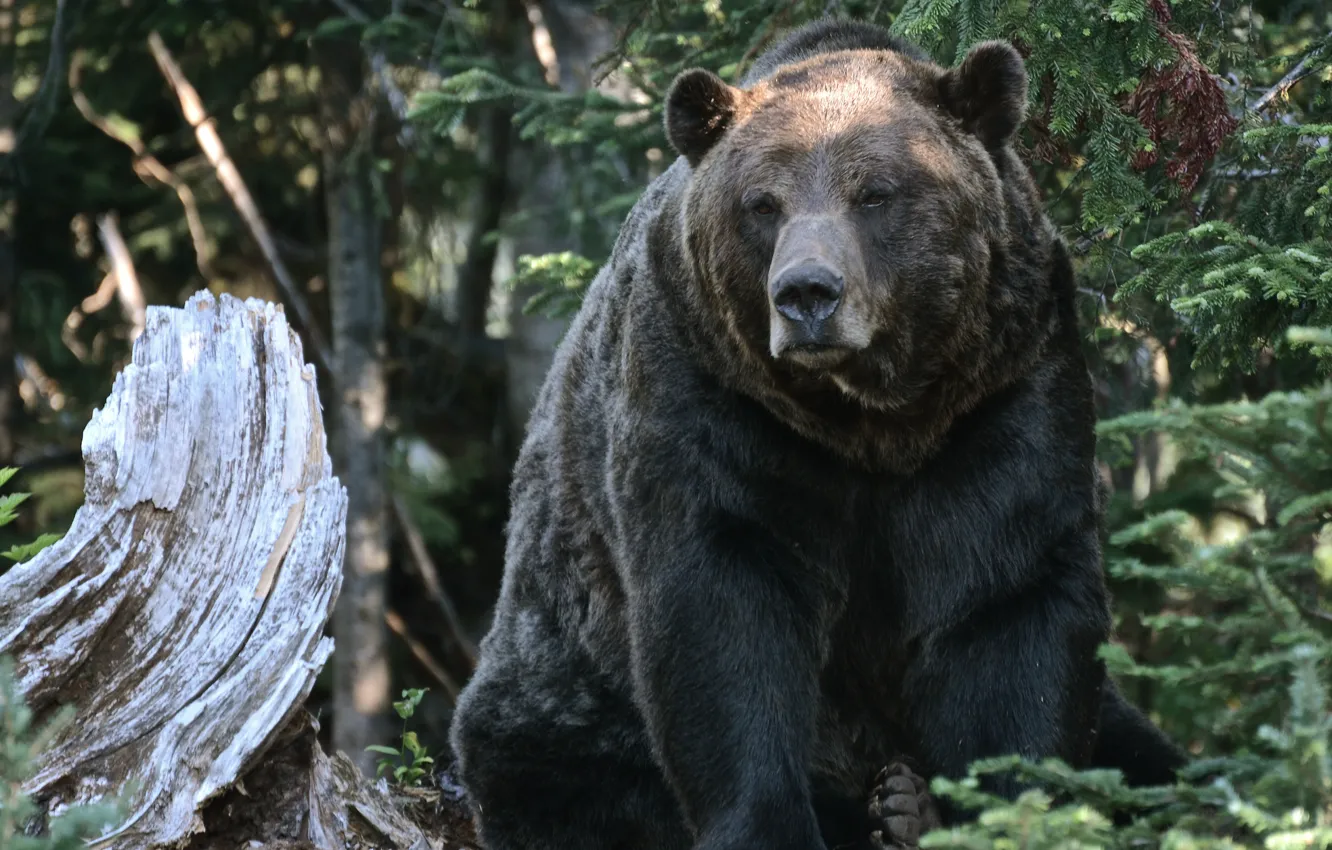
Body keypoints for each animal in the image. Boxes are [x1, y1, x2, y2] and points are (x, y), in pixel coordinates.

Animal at [449, 18, 1185, 850]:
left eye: (876, 193)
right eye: (762, 203)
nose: (806, 292)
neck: (873, 421)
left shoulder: (1003, 396)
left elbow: (1011, 605)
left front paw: (1003, 811)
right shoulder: (716, 400)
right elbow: (722, 612)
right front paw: (768, 821)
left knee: (1150, 758)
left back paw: (909, 803)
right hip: (566, 687)